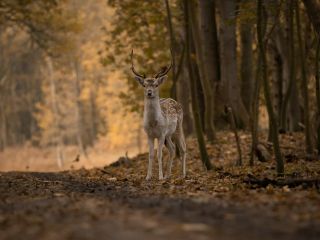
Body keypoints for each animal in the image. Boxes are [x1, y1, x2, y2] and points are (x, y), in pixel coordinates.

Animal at [130, 49, 186, 180]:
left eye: (156, 85)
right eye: (144, 85)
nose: (149, 92)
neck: (153, 123)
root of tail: (175, 101)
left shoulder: (161, 134)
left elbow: (159, 154)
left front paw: (159, 177)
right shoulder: (149, 135)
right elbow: (150, 155)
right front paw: (148, 176)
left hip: (178, 127)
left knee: (183, 148)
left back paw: (183, 174)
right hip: (168, 135)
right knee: (172, 148)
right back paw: (168, 175)